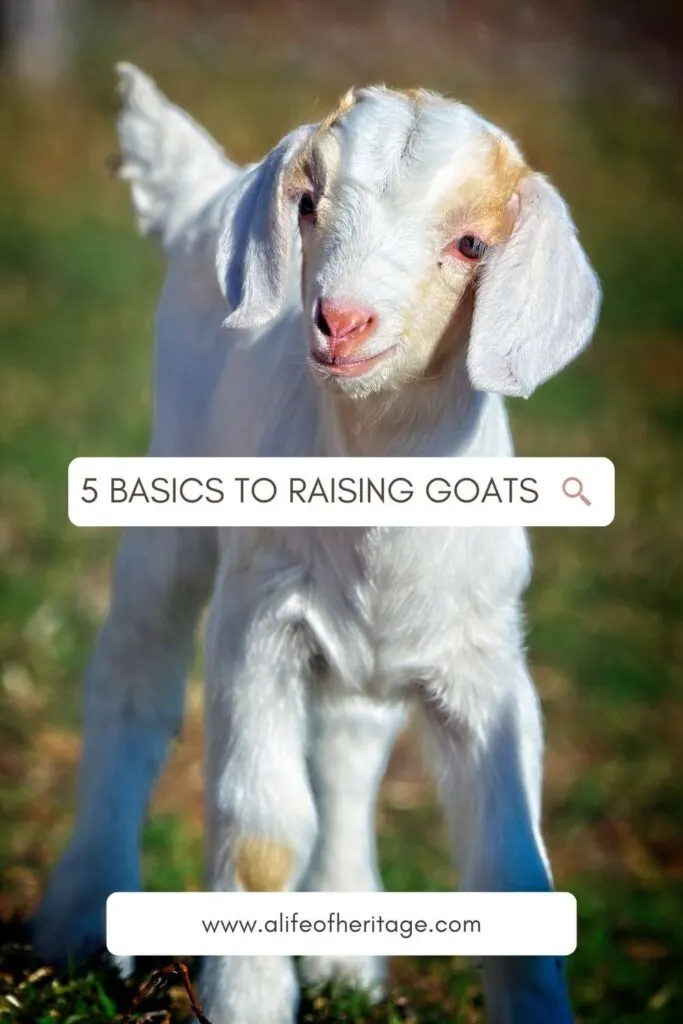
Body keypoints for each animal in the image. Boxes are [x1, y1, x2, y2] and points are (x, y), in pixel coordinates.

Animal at [32, 64, 600, 1024]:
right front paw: (248, 1001)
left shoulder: (483, 657)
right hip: (170, 495)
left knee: (347, 745)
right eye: (307, 203)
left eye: (471, 244)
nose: (341, 321)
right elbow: (262, 831)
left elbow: (513, 870)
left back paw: (345, 957)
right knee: (132, 684)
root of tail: (208, 192)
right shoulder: (257, 621)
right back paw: (77, 922)